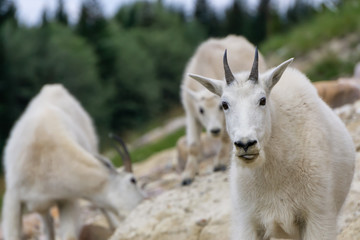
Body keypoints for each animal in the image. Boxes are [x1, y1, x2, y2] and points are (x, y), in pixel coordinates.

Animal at [2, 84, 144, 240]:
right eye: (133, 180)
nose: (142, 202)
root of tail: (54, 87)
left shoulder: (66, 199)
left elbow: (69, 235)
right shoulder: (13, 198)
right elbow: (13, 235)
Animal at [180, 34, 268, 186]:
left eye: (221, 107)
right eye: (201, 110)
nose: (214, 130)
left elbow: (225, 138)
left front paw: (219, 163)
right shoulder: (191, 113)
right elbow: (193, 146)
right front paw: (187, 175)